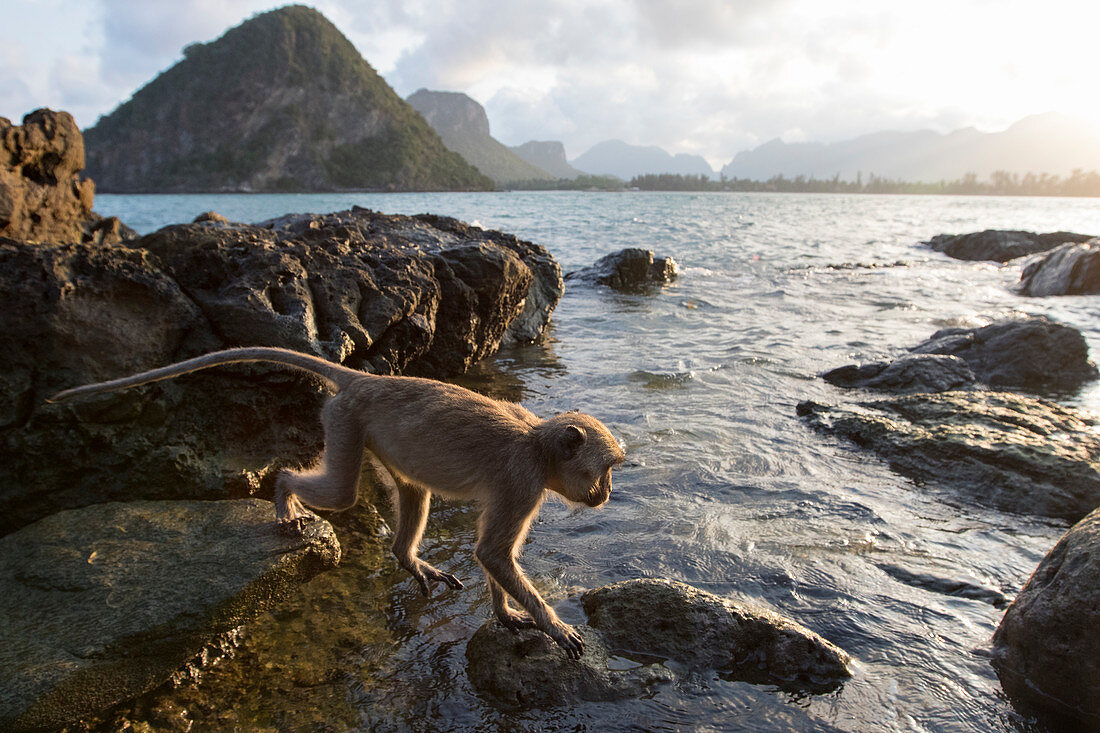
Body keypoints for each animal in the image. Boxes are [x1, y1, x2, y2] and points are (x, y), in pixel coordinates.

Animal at [47, 345, 624, 651]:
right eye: (605, 470)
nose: (606, 495)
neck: (539, 443)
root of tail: (365, 379)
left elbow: (493, 557)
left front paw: (506, 615)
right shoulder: (521, 482)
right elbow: (493, 554)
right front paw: (552, 624)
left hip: (366, 429)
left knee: (411, 491)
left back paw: (405, 559)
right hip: (344, 421)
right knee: (343, 494)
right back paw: (283, 493)